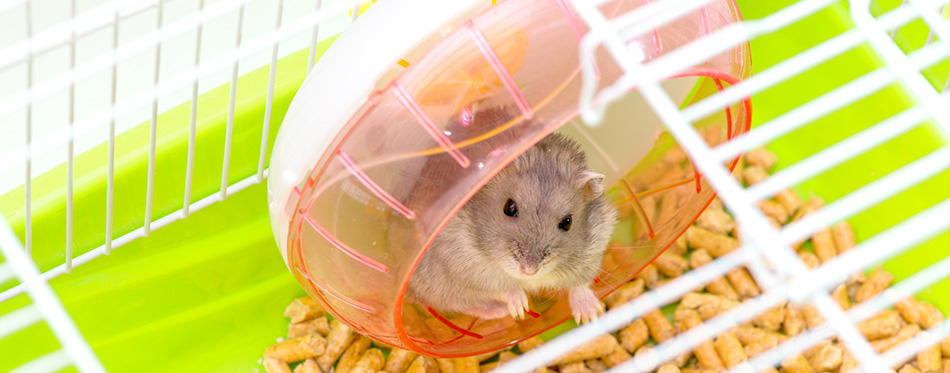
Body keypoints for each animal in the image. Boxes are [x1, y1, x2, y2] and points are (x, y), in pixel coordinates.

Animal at [408, 132, 620, 322]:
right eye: (509, 208)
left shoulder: (594, 249)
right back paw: (499, 311)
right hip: (437, 287)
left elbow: (580, 284)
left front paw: (591, 315)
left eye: (567, 222)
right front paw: (520, 309)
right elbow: (502, 288)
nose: (529, 270)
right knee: (461, 304)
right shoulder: (468, 266)